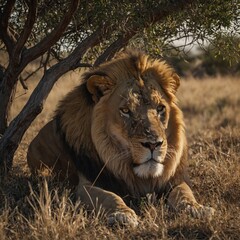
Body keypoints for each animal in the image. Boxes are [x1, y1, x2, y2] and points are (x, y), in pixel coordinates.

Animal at [27, 49, 215, 227]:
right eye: (125, 110)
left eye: (160, 108)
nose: (153, 144)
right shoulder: (85, 185)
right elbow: (108, 196)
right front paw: (122, 215)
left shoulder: (174, 180)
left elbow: (184, 192)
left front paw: (196, 208)